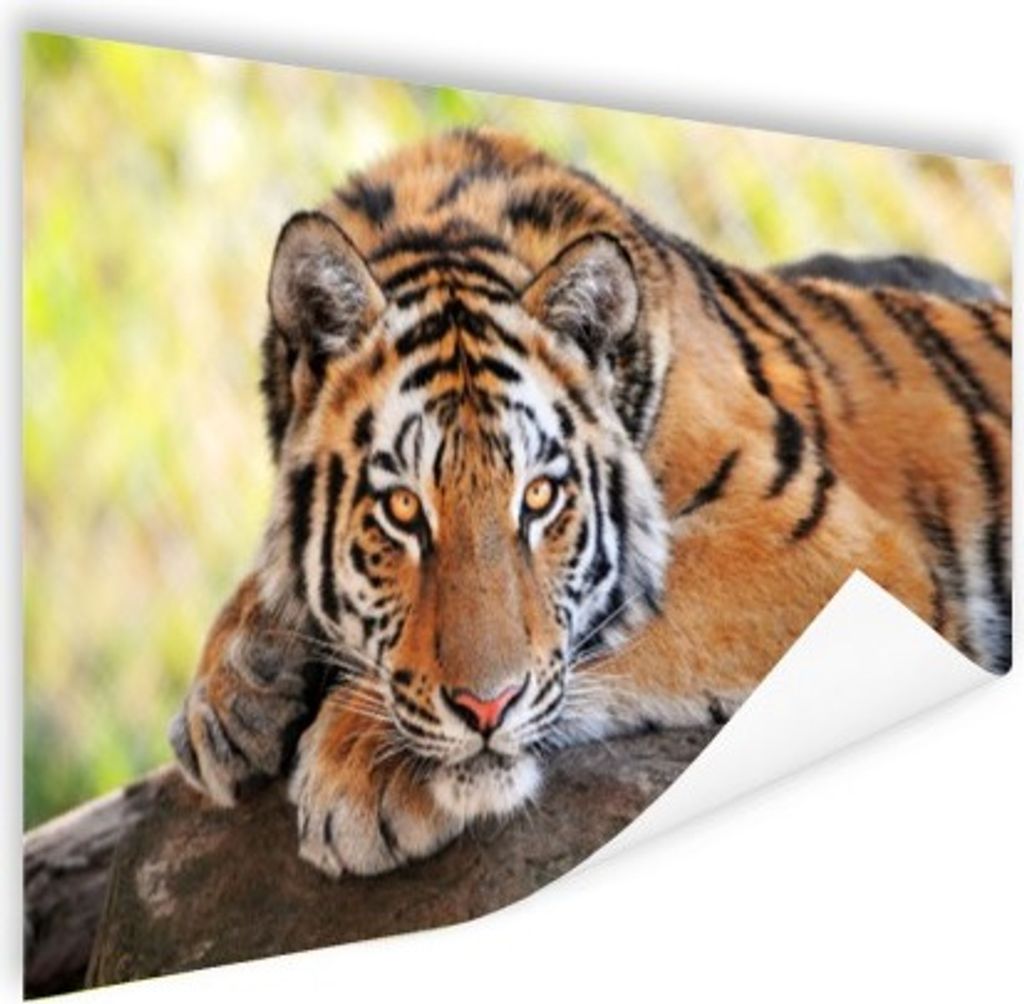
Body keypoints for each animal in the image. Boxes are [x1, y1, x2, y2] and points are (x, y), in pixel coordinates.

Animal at [169, 128, 1011, 877]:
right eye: (403, 510)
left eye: (539, 497)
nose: (485, 712)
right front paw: (230, 697)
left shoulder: (827, 543)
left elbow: (606, 622)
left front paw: (362, 761)